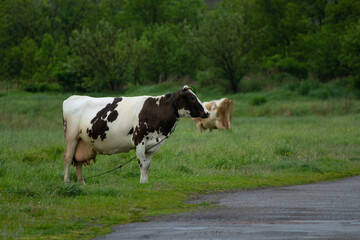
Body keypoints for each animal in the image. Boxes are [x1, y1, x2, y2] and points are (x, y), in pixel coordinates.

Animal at [61, 86, 208, 184]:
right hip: (71, 137)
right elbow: (142, 163)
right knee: (68, 158)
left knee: (78, 162)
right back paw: (67, 181)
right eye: (193, 98)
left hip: (81, 141)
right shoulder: (139, 140)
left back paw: (82, 183)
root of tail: (73, 97)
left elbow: (147, 165)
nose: (207, 112)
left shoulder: (152, 144)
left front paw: (146, 182)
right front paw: (142, 182)